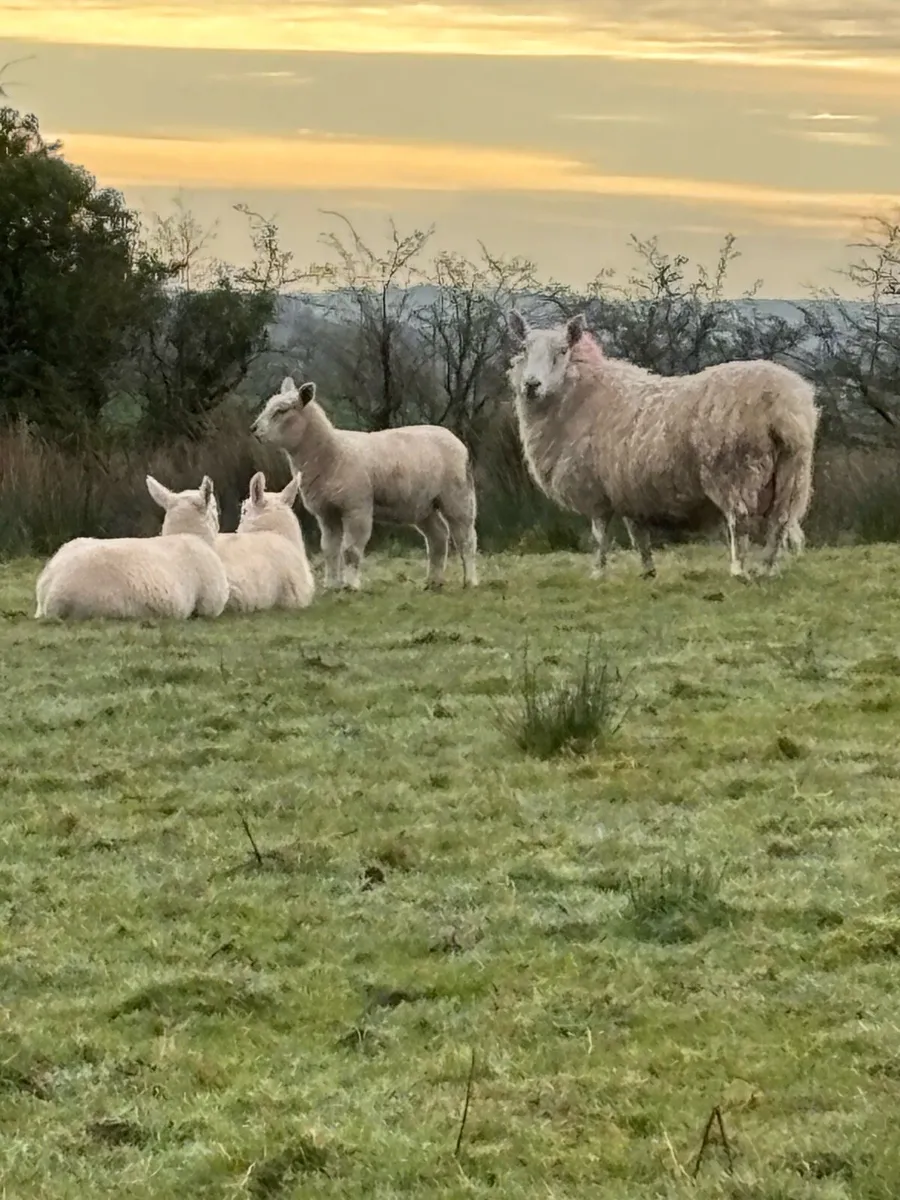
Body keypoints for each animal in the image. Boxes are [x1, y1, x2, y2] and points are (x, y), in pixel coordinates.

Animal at [251, 377, 479, 591]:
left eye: (281, 411)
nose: (254, 429)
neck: (331, 453)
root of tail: (454, 438)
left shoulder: (356, 507)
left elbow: (350, 550)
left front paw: (351, 585)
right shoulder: (326, 513)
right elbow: (329, 550)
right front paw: (332, 584)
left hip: (457, 495)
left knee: (466, 538)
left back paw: (470, 580)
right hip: (423, 505)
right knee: (438, 537)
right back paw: (433, 581)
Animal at [506, 310, 819, 580]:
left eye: (562, 351)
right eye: (523, 349)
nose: (531, 385)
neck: (580, 393)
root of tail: (782, 406)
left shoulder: (596, 491)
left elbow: (600, 536)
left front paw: (597, 573)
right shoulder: (627, 490)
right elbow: (638, 536)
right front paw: (648, 571)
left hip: (735, 470)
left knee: (739, 521)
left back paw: (738, 570)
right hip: (792, 473)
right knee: (779, 522)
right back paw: (768, 569)